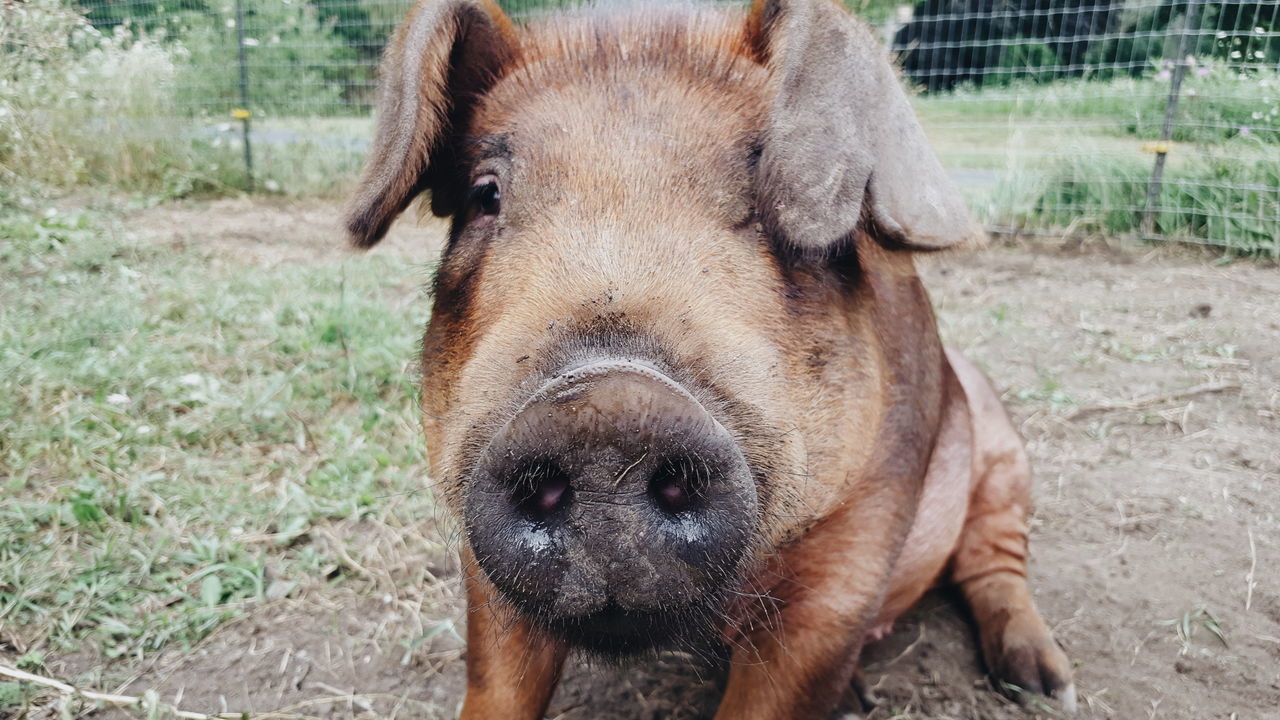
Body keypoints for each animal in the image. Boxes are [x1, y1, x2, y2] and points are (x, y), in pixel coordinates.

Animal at [345, 0, 1075, 712]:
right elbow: (495, 687)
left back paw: (1043, 685)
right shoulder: (479, 559)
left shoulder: (850, 561)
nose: (605, 409)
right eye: (485, 194)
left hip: (1008, 458)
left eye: (766, 195)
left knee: (997, 560)